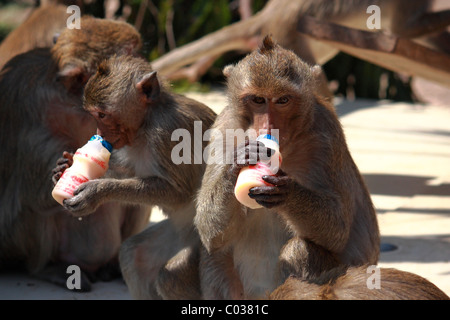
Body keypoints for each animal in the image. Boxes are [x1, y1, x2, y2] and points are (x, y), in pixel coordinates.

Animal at [0, 15, 148, 290]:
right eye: (130, 55)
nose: (150, 76)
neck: (75, 105)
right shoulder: (28, 113)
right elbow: (31, 195)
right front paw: (61, 172)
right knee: (29, 209)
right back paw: (50, 268)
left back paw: (115, 266)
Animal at [51, 53, 217, 298]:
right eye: (94, 115)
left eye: (102, 115)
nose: (99, 133)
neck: (145, 124)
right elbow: (126, 171)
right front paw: (65, 166)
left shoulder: (167, 133)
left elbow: (179, 193)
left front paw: (96, 193)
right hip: (178, 235)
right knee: (132, 255)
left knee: (172, 277)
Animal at [193, 35, 380, 300]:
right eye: (258, 100)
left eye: (283, 100)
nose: (268, 127)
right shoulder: (223, 127)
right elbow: (209, 230)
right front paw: (240, 161)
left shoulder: (326, 133)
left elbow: (337, 230)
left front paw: (287, 192)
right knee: (214, 253)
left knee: (299, 251)